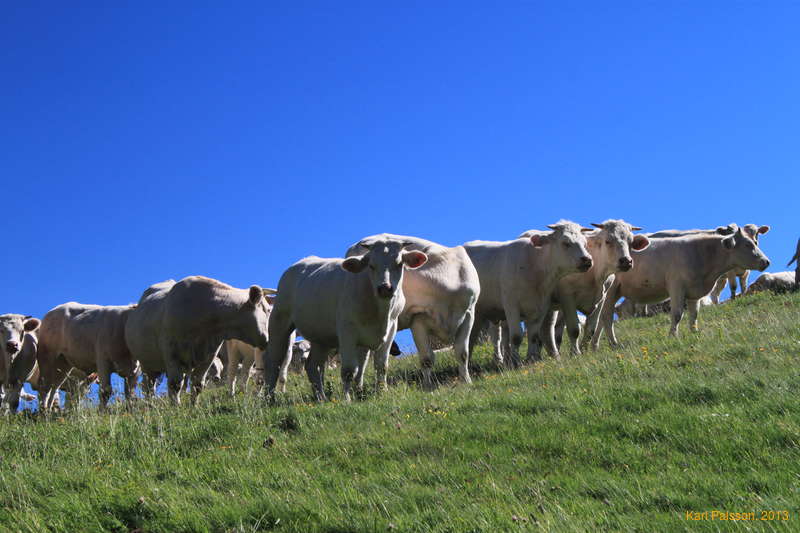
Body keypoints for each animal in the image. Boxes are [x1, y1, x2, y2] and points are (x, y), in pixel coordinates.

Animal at [125, 276, 270, 405]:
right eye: (268, 310)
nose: (268, 341)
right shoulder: (171, 352)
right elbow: (175, 384)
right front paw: (176, 407)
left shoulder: (209, 355)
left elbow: (197, 384)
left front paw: (193, 406)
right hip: (147, 363)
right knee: (148, 387)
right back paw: (150, 405)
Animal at [264, 237, 428, 402]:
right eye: (371, 265)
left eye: (399, 264)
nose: (385, 288)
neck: (381, 311)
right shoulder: (347, 331)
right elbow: (349, 370)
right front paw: (347, 399)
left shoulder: (390, 330)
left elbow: (380, 366)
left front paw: (380, 392)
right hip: (279, 321)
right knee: (274, 362)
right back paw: (269, 398)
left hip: (320, 336)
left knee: (312, 365)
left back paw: (321, 398)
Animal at [345, 234, 480, 390]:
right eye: (370, 266)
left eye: (399, 264)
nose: (385, 288)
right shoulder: (417, 319)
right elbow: (427, 358)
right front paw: (428, 386)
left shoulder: (469, 315)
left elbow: (462, 353)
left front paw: (466, 381)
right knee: (362, 355)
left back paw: (358, 387)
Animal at [463, 221, 593, 367]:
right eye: (565, 243)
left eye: (585, 243)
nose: (587, 259)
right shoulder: (511, 306)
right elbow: (516, 336)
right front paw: (515, 361)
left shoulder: (541, 307)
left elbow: (534, 336)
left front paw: (531, 359)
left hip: (480, 313)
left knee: (472, 337)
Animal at [591, 228, 770, 347]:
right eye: (747, 244)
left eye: (755, 241)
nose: (766, 261)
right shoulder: (677, 286)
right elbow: (677, 314)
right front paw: (673, 336)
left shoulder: (694, 291)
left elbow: (694, 314)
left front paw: (694, 333)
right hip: (611, 291)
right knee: (606, 317)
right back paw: (613, 343)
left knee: (600, 319)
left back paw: (594, 345)